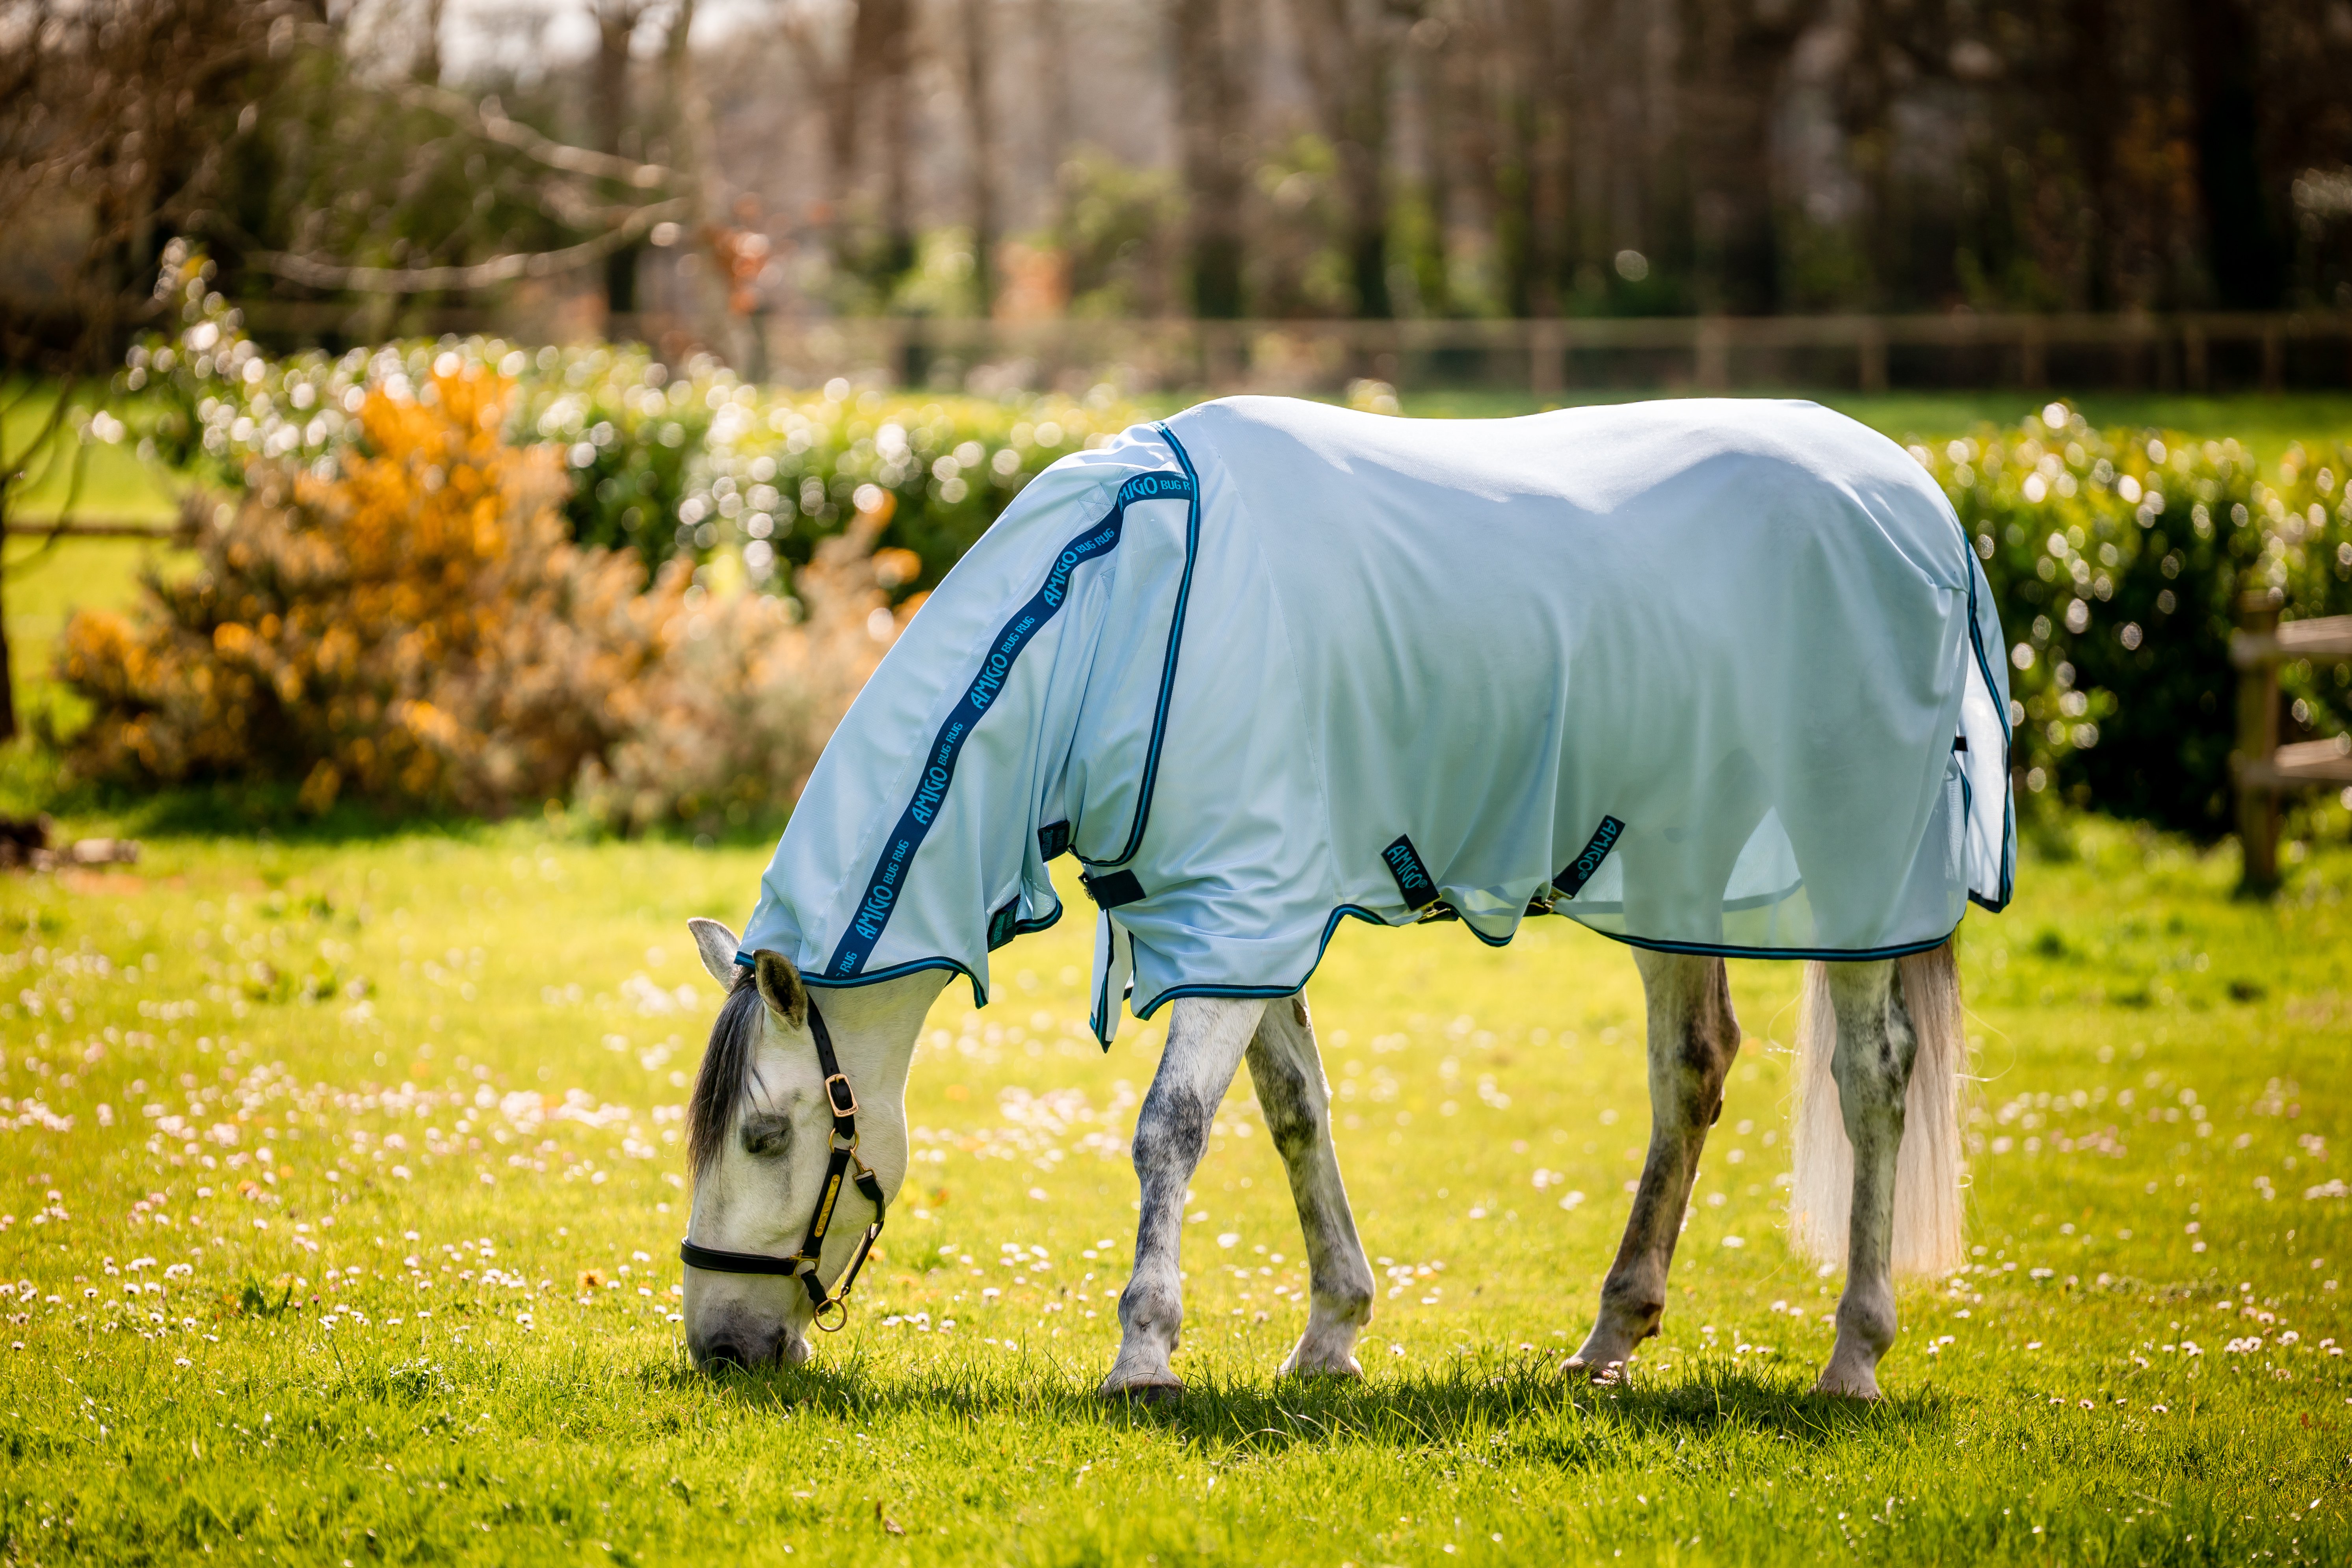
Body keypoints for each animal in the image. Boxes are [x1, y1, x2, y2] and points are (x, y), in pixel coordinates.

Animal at [673, 400, 2013, 1401]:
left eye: (767, 1136)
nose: (722, 1346)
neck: (1122, 610)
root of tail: (1924, 504)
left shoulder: (1241, 912)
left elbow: (1170, 1130)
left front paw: (1144, 1353)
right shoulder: (1237, 919)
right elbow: (1293, 1114)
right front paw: (1331, 1334)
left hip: (1853, 882)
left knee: (1873, 1078)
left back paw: (1853, 1355)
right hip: (1674, 876)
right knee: (1692, 1069)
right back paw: (1608, 1342)